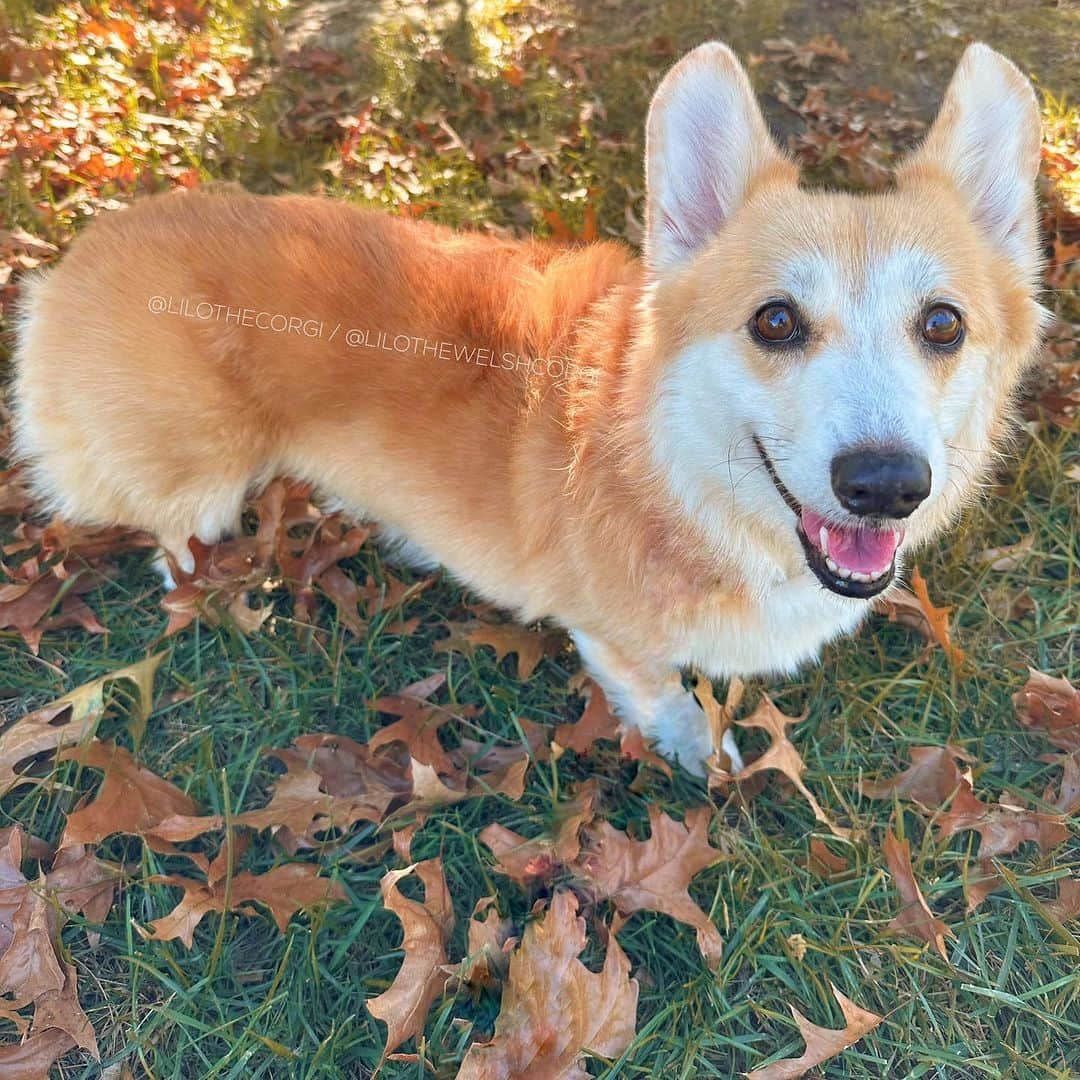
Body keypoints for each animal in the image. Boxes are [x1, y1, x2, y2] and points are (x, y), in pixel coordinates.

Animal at [10, 39, 1045, 768]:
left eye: (943, 324)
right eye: (777, 321)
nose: (886, 484)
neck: (680, 484)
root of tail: (72, 262)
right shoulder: (616, 640)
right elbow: (664, 698)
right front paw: (698, 752)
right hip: (205, 476)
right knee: (171, 536)